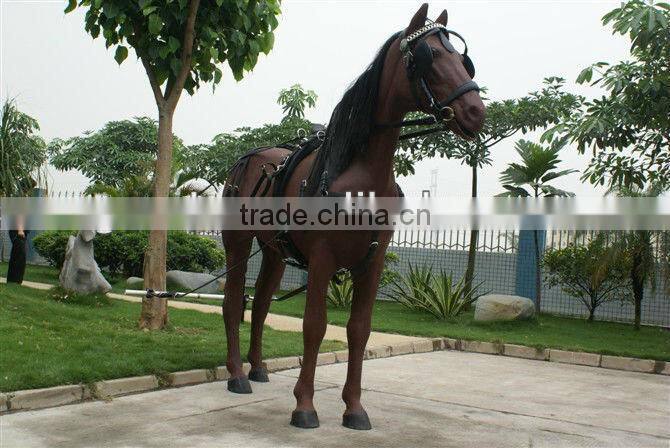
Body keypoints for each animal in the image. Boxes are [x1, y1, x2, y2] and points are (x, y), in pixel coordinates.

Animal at [221, 3, 485, 430]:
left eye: (463, 60)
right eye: (429, 55)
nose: (476, 112)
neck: (360, 174)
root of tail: (250, 158)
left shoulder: (373, 260)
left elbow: (359, 330)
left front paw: (355, 408)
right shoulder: (323, 258)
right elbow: (314, 326)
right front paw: (304, 406)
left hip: (275, 251)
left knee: (259, 304)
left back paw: (258, 367)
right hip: (238, 243)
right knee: (233, 303)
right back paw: (236, 375)